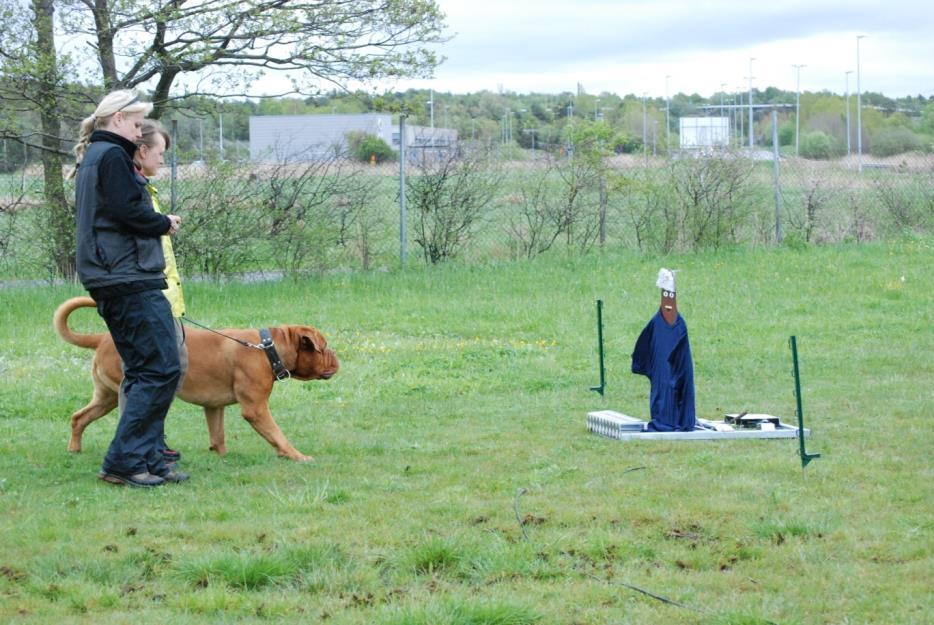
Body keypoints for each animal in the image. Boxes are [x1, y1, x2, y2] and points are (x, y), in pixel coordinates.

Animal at [54, 294, 340, 460]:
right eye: (324, 347)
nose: (337, 358)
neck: (268, 348)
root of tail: (102, 338)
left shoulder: (214, 407)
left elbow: (218, 435)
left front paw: (221, 455)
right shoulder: (256, 409)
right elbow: (277, 434)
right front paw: (294, 454)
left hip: (106, 397)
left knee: (79, 417)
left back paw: (74, 448)